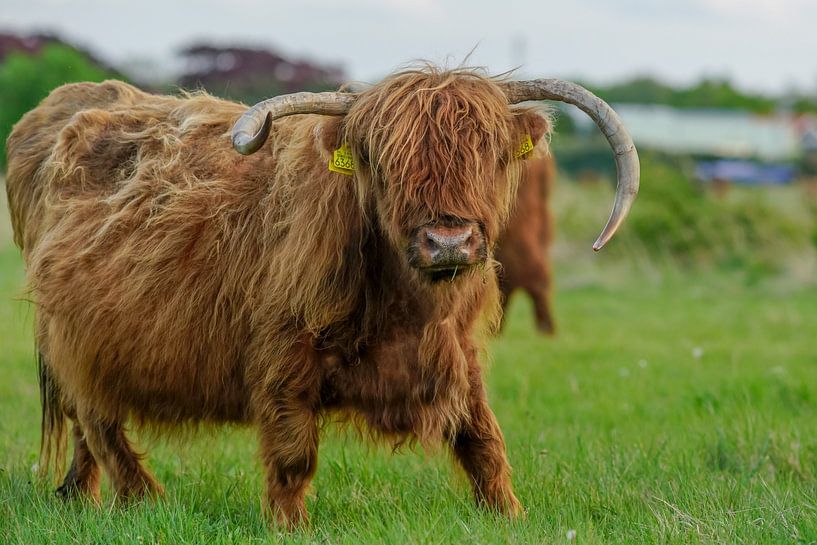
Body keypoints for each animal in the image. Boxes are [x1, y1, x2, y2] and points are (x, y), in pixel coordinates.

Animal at [6, 63, 640, 528]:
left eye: (487, 153)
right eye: (384, 162)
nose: (448, 241)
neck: (406, 312)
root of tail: (60, 107)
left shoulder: (457, 351)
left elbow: (484, 440)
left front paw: (511, 517)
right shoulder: (283, 352)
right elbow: (293, 455)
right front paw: (291, 529)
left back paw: (83, 498)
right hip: (72, 338)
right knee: (96, 418)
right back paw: (141, 499)